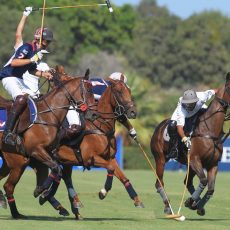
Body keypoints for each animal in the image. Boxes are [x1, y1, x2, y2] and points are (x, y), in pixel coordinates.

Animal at [0, 69, 93, 217]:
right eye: (89, 89)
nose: (91, 113)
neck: (48, 115)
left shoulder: (49, 152)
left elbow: (57, 171)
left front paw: (43, 193)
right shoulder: (36, 150)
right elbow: (56, 169)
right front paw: (41, 192)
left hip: (10, 161)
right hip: (18, 161)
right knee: (8, 186)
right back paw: (16, 213)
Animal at [150, 73, 229, 216]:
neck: (208, 131)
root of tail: (158, 127)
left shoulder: (213, 164)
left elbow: (210, 188)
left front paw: (198, 205)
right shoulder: (195, 160)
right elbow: (203, 181)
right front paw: (190, 202)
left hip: (189, 165)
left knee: (187, 182)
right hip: (160, 159)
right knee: (159, 183)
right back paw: (168, 207)